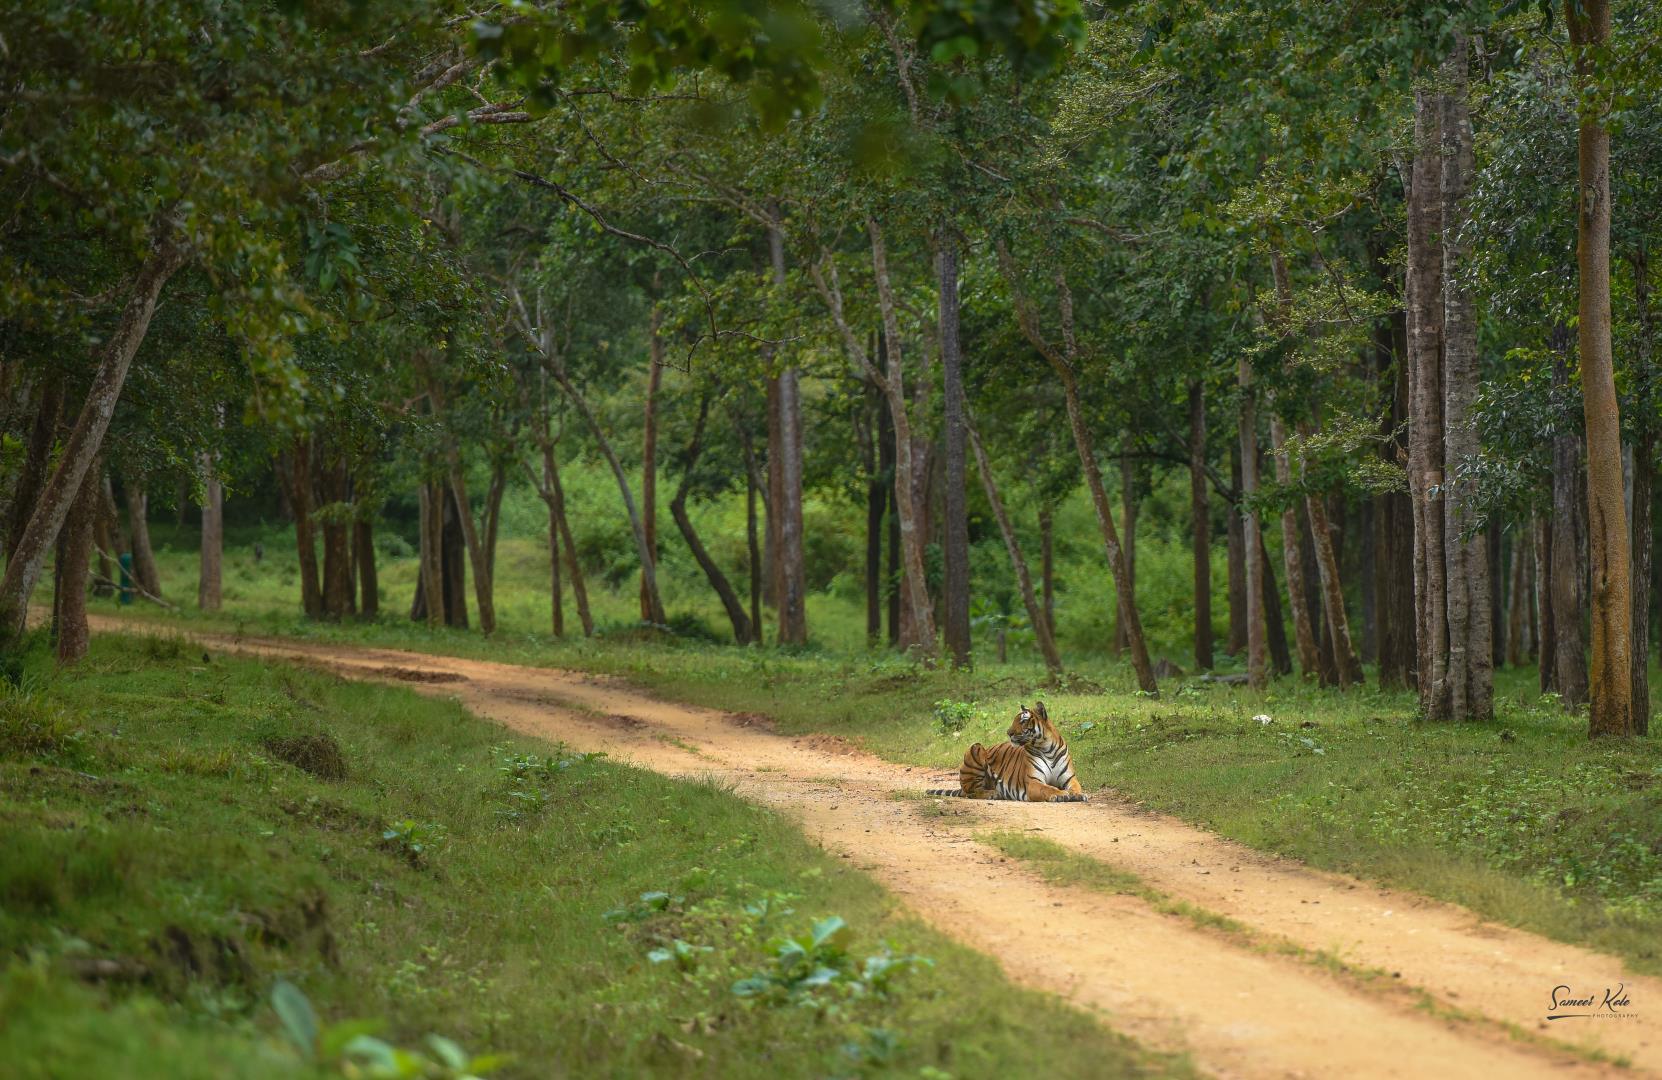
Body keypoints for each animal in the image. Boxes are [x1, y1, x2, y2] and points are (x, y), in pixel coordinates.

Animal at [930, 697, 1083, 797]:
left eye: (1023, 721)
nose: (1008, 733)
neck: (1047, 748)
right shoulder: (1033, 782)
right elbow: (1048, 789)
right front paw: (1062, 794)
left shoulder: (1070, 779)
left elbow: (1077, 787)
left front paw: (1077, 795)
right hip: (975, 748)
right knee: (972, 792)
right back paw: (993, 794)